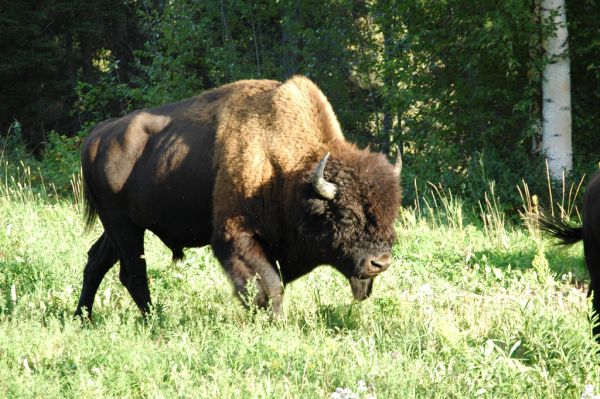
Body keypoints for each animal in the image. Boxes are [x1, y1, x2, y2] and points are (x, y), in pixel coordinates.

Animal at [76, 76, 404, 318]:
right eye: (347, 215)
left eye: (391, 212)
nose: (380, 263)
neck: (289, 167)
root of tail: (96, 135)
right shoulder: (237, 235)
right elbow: (269, 286)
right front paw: (276, 323)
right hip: (123, 227)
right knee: (133, 273)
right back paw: (155, 320)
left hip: (122, 227)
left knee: (97, 262)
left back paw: (83, 317)